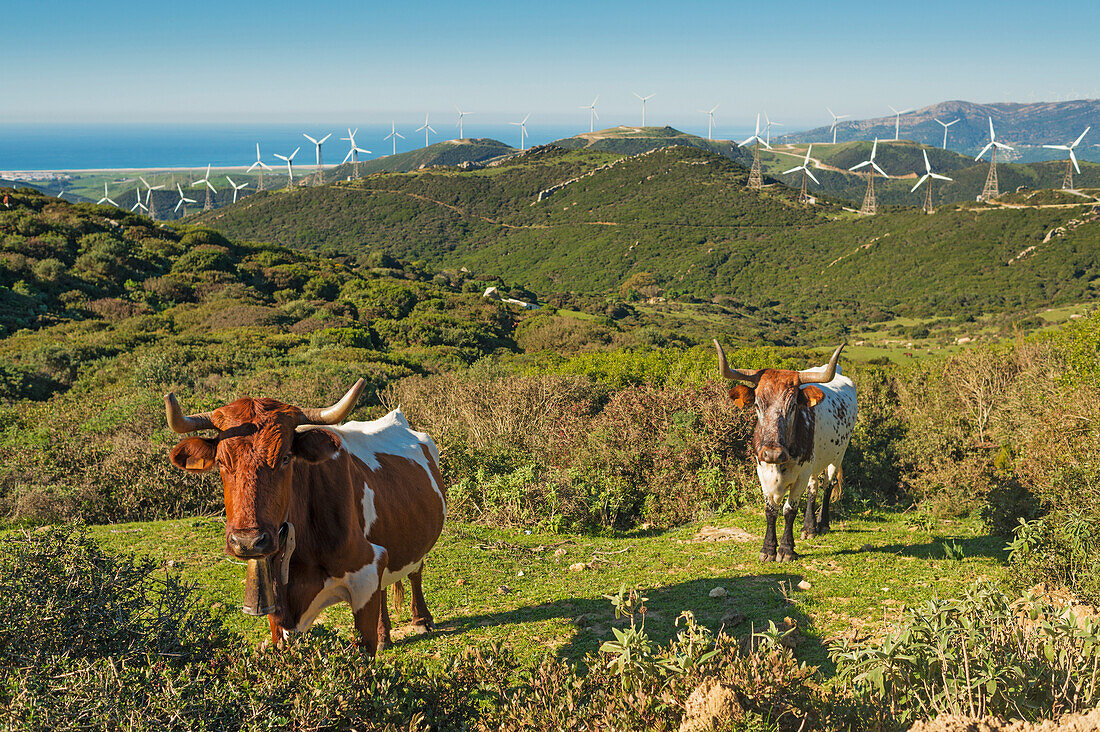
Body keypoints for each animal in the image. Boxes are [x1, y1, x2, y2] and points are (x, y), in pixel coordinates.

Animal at [162, 378, 442, 651]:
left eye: (286, 458)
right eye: (221, 462)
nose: (247, 542)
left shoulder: (365, 574)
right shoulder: (277, 607)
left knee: (416, 570)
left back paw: (421, 620)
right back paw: (385, 634)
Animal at [712, 339, 858, 561]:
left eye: (793, 406)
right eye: (757, 404)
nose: (773, 453)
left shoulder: (801, 473)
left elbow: (789, 510)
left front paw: (786, 549)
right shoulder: (762, 471)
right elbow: (770, 509)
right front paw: (768, 549)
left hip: (838, 455)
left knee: (827, 485)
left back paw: (822, 523)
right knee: (814, 487)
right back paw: (809, 527)